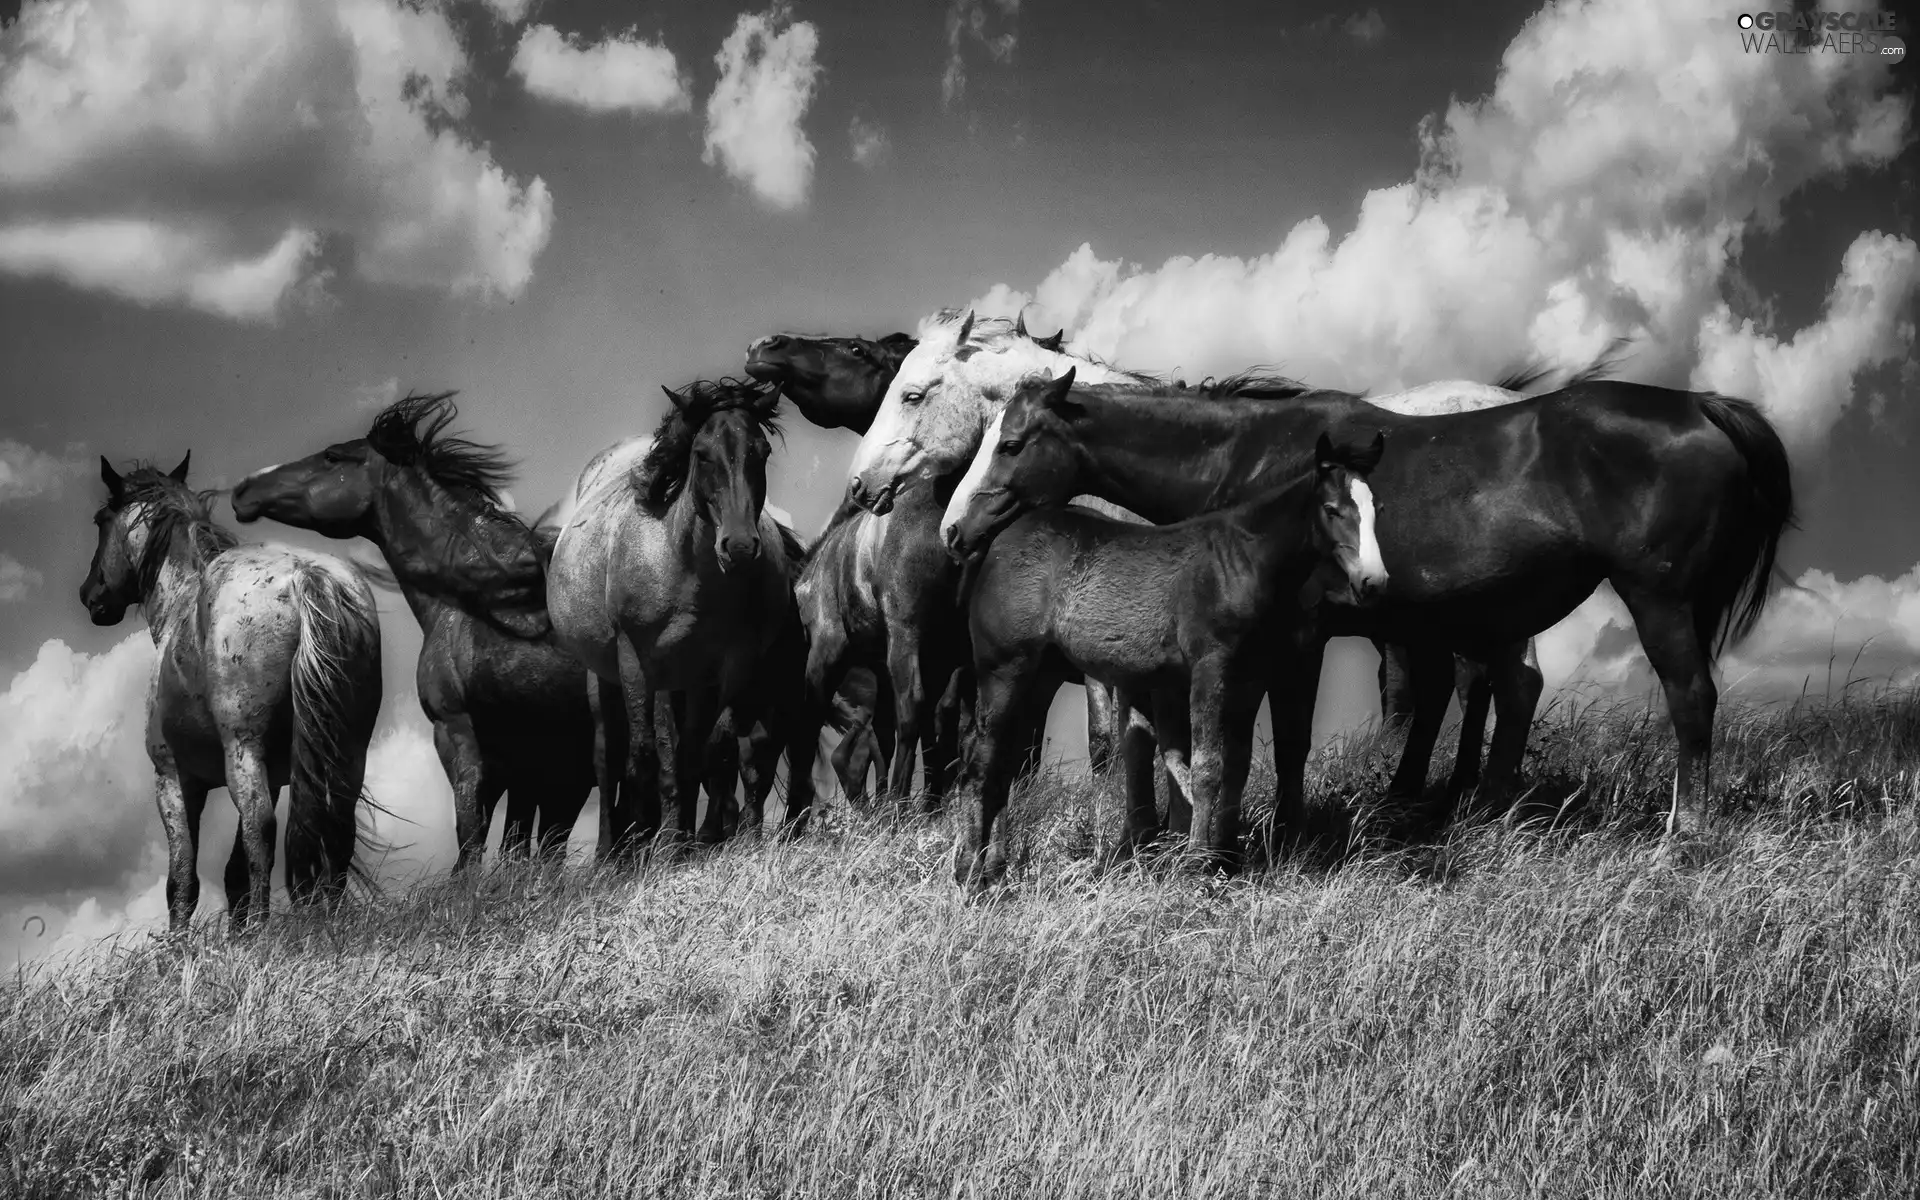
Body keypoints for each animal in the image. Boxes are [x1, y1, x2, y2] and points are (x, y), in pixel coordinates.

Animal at [79, 453, 382, 933]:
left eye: (99, 521)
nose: (91, 594)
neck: (181, 606)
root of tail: (306, 575)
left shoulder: (174, 779)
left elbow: (182, 880)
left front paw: (180, 946)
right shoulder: (275, 775)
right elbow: (233, 872)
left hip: (243, 749)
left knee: (262, 827)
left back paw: (262, 928)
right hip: (346, 751)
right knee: (336, 824)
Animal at [229, 395, 599, 871]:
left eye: (332, 456)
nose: (244, 489)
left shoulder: (460, 737)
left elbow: (472, 837)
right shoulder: (538, 766)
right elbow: (525, 844)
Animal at [936, 355, 1789, 833]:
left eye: (1012, 444)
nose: (952, 529)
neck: (1252, 461)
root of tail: (1700, 406)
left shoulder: (1295, 640)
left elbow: (1281, 741)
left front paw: (1277, 831)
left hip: (1660, 601)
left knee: (1688, 700)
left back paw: (1684, 830)